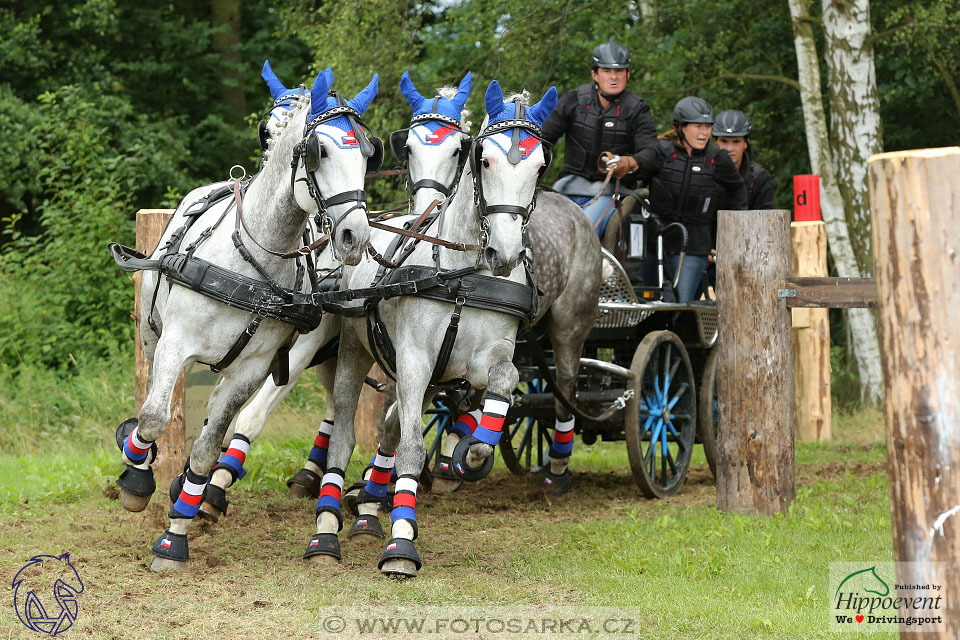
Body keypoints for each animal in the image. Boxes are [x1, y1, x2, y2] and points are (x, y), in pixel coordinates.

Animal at [111, 67, 378, 572]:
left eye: (368, 153)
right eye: (319, 151)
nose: (354, 235)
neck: (253, 259)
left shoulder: (254, 366)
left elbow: (208, 446)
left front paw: (175, 536)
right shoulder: (176, 343)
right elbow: (153, 418)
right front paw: (137, 481)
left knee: (218, 412)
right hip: (153, 337)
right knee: (152, 404)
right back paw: (139, 468)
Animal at [304, 79, 564, 576]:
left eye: (540, 166)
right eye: (484, 159)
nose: (505, 253)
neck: (463, 274)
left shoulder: (484, 359)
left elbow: (505, 384)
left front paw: (474, 452)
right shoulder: (414, 360)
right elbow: (411, 449)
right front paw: (401, 545)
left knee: (388, 426)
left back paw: (370, 508)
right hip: (357, 354)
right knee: (345, 437)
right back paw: (326, 531)